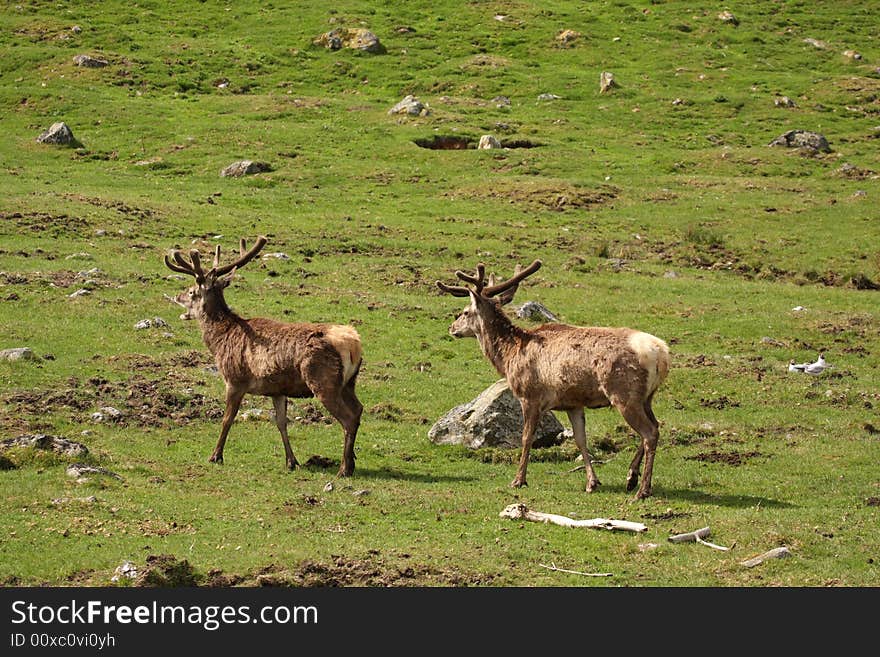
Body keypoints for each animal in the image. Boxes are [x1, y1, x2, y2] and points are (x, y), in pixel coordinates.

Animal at [163, 236, 362, 476]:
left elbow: (227, 419)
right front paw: (291, 461)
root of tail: (353, 343)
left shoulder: (234, 380)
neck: (220, 341)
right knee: (358, 410)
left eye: (193, 291)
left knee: (348, 418)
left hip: (323, 381)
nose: (177, 296)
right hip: (349, 383)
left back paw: (344, 468)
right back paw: (351, 461)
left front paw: (215, 456)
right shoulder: (278, 390)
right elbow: (281, 423)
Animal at [436, 258, 672, 500]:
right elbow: (580, 439)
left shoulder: (530, 396)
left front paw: (519, 480)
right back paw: (631, 477)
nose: (451, 328)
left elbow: (526, 437)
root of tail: (661, 353)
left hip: (624, 394)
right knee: (656, 425)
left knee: (649, 433)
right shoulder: (573, 403)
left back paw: (643, 489)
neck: (510, 355)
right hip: (646, 397)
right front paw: (592, 482)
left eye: (465, 312)